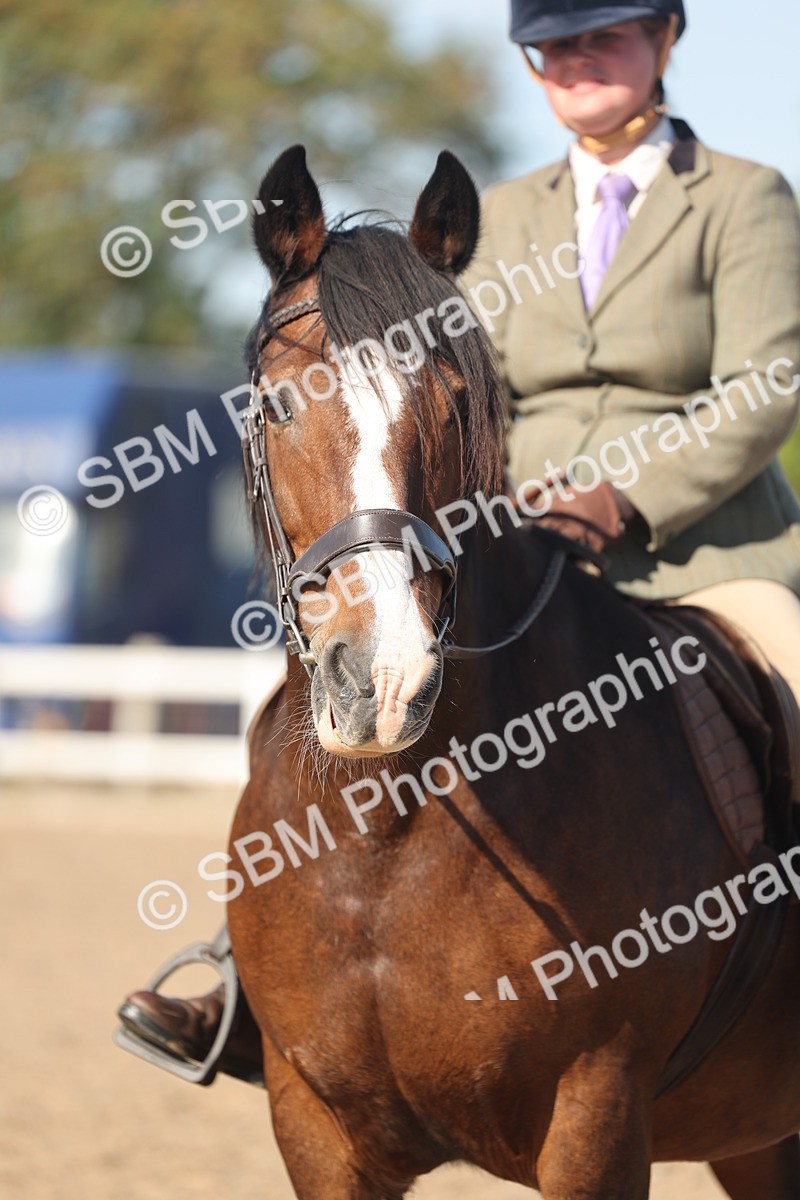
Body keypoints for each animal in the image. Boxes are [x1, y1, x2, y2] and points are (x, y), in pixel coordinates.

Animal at [227, 144, 800, 1200]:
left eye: (458, 402)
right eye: (279, 403)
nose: (382, 683)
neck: (389, 839)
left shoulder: (597, 1114)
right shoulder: (314, 1125)